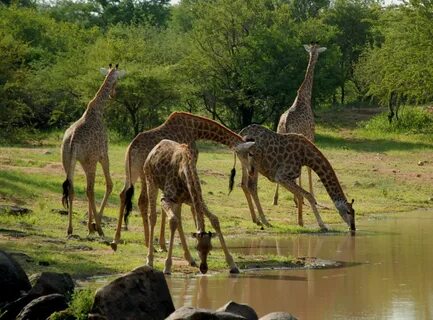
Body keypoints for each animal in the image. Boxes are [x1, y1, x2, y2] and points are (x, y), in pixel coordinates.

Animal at [60, 63, 125, 236]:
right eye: (117, 79)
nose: (113, 94)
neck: (98, 110)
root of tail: (72, 141)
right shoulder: (103, 154)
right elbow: (109, 185)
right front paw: (94, 225)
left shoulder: (83, 161)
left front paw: (90, 226)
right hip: (91, 161)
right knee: (90, 189)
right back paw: (101, 230)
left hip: (68, 160)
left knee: (72, 189)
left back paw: (70, 229)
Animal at [109, 112, 268, 252]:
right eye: (250, 153)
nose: (252, 170)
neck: (196, 130)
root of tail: (131, 148)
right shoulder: (191, 161)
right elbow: (191, 199)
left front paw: (163, 244)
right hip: (143, 174)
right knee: (142, 200)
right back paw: (148, 244)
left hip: (131, 172)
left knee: (123, 194)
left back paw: (116, 240)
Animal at [143, 139, 245, 274]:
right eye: (197, 247)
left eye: (210, 248)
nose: (204, 269)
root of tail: (156, 147)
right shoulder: (165, 198)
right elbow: (173, 220)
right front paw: (167, 266)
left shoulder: (193, 200)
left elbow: (214, 219)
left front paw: (232, 264)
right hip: (151, 182)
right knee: (153, 216)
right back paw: (149, 260)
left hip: (178, 200)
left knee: (179, 221)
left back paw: (190, 259)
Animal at [274, 42, 328, 220]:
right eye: (317, 52)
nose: (317, 56)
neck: (305, 97)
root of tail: (284, 123)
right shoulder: (311, 135)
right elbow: (309, 167)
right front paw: (312, 197)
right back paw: (296, 198)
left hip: (280, 135)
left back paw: (277, 198)